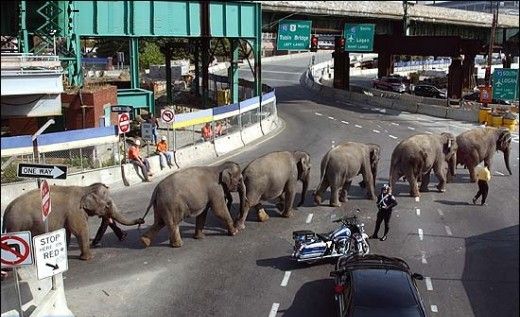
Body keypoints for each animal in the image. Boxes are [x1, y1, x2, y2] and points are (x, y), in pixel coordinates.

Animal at [2, 183, 144, 260]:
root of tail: (5, 212)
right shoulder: (75, 211)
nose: (141, 220)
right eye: (107, 205)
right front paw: (87, 258)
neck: (85, 189)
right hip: (16, 225)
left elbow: (67, 232)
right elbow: (80, 230)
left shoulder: (69, 215)